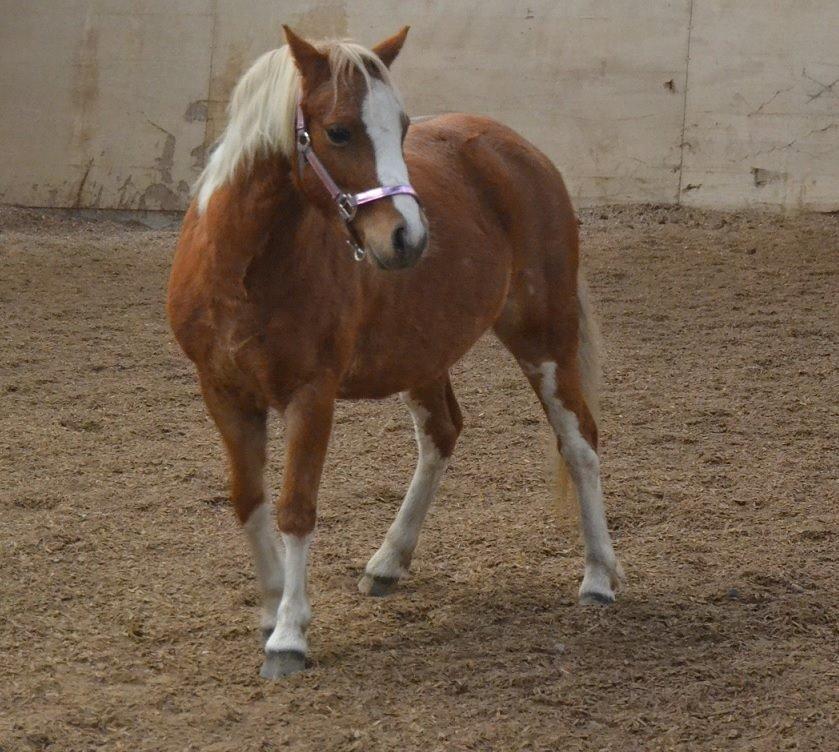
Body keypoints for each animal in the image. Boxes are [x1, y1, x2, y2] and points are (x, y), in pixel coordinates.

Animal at [167, 26, 620, 680]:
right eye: (337, 131)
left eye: (402, 125)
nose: (408, 237)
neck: (242, 269)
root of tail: (521, 151)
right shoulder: (223, 393)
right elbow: (249, 500)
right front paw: (272, 607)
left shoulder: (312, 395)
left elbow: (296, 507)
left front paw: (289, 636)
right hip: (423, 351)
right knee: (442, 434)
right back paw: (387, 562)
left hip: (544, 336)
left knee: (579, 440)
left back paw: (599, 577)